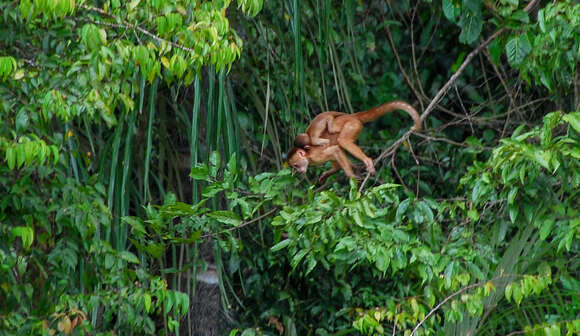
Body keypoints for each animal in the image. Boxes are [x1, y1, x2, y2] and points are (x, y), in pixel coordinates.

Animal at [286, 101, 420, 182]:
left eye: (296, 165)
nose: (298, 171)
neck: (308, 157)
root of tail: (351, 116)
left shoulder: (316, 155)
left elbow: (335, 150)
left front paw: (351, 176)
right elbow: (336, 155)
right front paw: (336, 171)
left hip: (352, 124)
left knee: (342, 140)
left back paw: (367, 160)